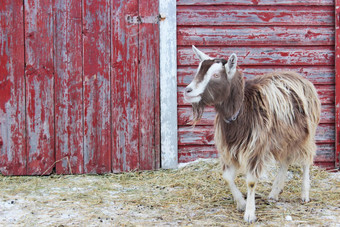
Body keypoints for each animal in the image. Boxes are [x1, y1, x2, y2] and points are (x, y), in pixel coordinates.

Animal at [185, 45, 320, 223]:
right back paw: (274, 192)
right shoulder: (229, 148)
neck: (241, 112)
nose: (188, 91)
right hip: (283, 138)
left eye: (216, 75)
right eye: (198, 70)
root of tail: (301, 78)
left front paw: (249, 214)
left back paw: (304, 194)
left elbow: (250, 182)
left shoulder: (255, 147)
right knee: (285, 161)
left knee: (305, 161)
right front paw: (241, 203)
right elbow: (227, 177)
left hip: (306, 134)